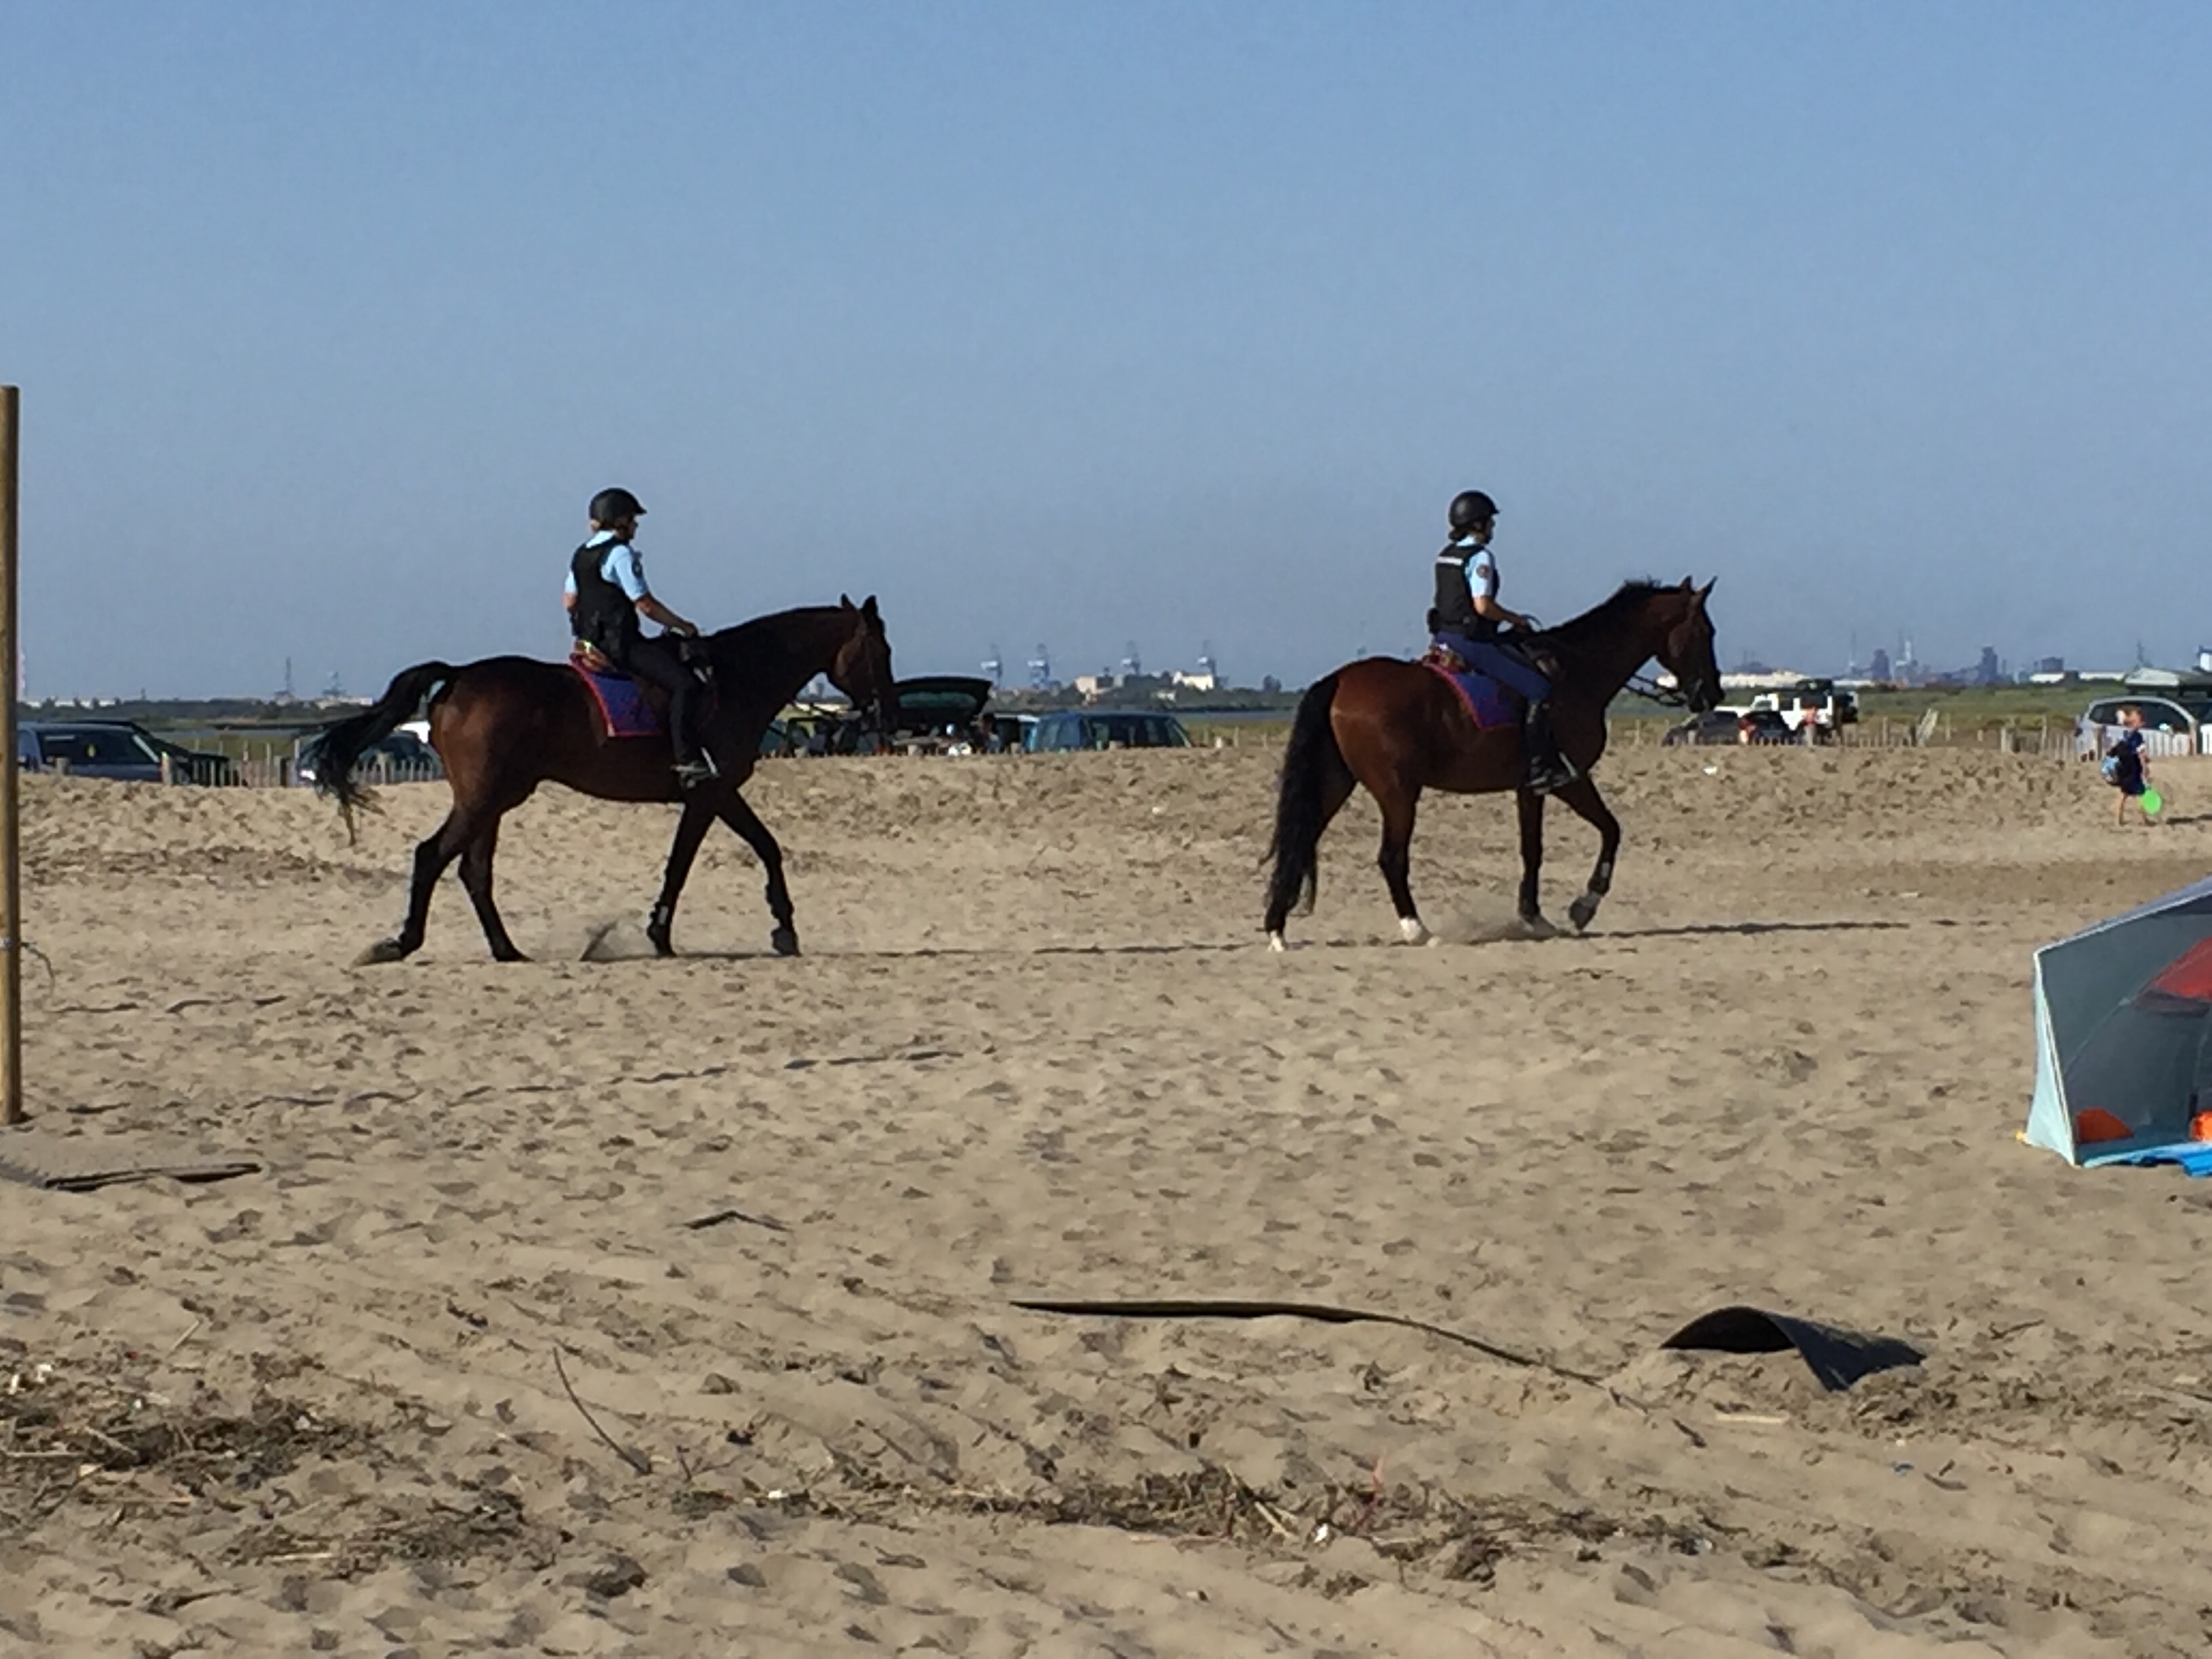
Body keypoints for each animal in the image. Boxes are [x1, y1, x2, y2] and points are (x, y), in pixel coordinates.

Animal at [303, 596, 895, 964]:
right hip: (487, 798)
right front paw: (666, 933)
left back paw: (506, 950)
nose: (885, 712)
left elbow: (759, 848)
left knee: (474, 871)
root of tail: (459, 678)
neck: (735, 679)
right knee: (434, 856)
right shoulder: (710, 792)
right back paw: (402, 943)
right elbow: (693, 862)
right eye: (881, 651)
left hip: (489, 802)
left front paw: (781, 928)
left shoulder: (719, 794)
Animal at [1263, 579, 1721, 950]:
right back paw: (1417, 929)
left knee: (1301, 839)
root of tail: (1340, 680)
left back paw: (1277, 929)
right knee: (1391, 857)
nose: (1712, 695)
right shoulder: (1569, 778)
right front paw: (1584, 905)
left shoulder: (1531, 787)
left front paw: (1534, 916)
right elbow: (1610, 830)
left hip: (1336, 782)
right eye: (1706, 631)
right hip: (1397, 791)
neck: (1576, 673)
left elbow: (1533, 848)